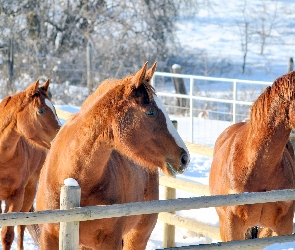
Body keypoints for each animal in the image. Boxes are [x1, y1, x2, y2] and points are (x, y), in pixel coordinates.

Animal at [0, 80, 61, 250]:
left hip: (28, 192)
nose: (61, 134)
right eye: (41, 110)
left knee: (21, 227)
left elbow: (7, 235)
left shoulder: (16, 197)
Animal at [34, 61, 191, 249]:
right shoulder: (47, 237)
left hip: (136, 238)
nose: (184, 157)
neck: (67, 178)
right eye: (150, 112)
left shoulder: (110, 241)